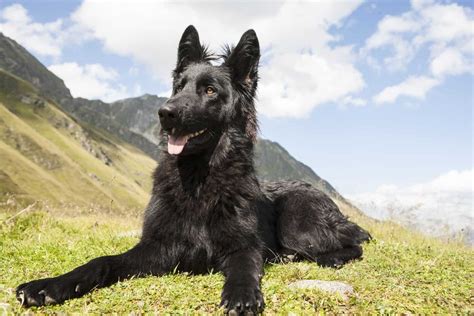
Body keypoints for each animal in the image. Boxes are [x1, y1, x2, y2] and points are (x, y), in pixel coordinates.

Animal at [15, 25, 370, 314]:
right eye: (179, 87)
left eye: (210, 90)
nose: (164, 113)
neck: (200, 178)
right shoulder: (157, 247)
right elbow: (102, 261)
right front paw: (49, 285)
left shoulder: (242, 246)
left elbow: (245, 265)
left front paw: (242, 293)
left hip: (298, 225)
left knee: (352, 242)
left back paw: (324, 257)